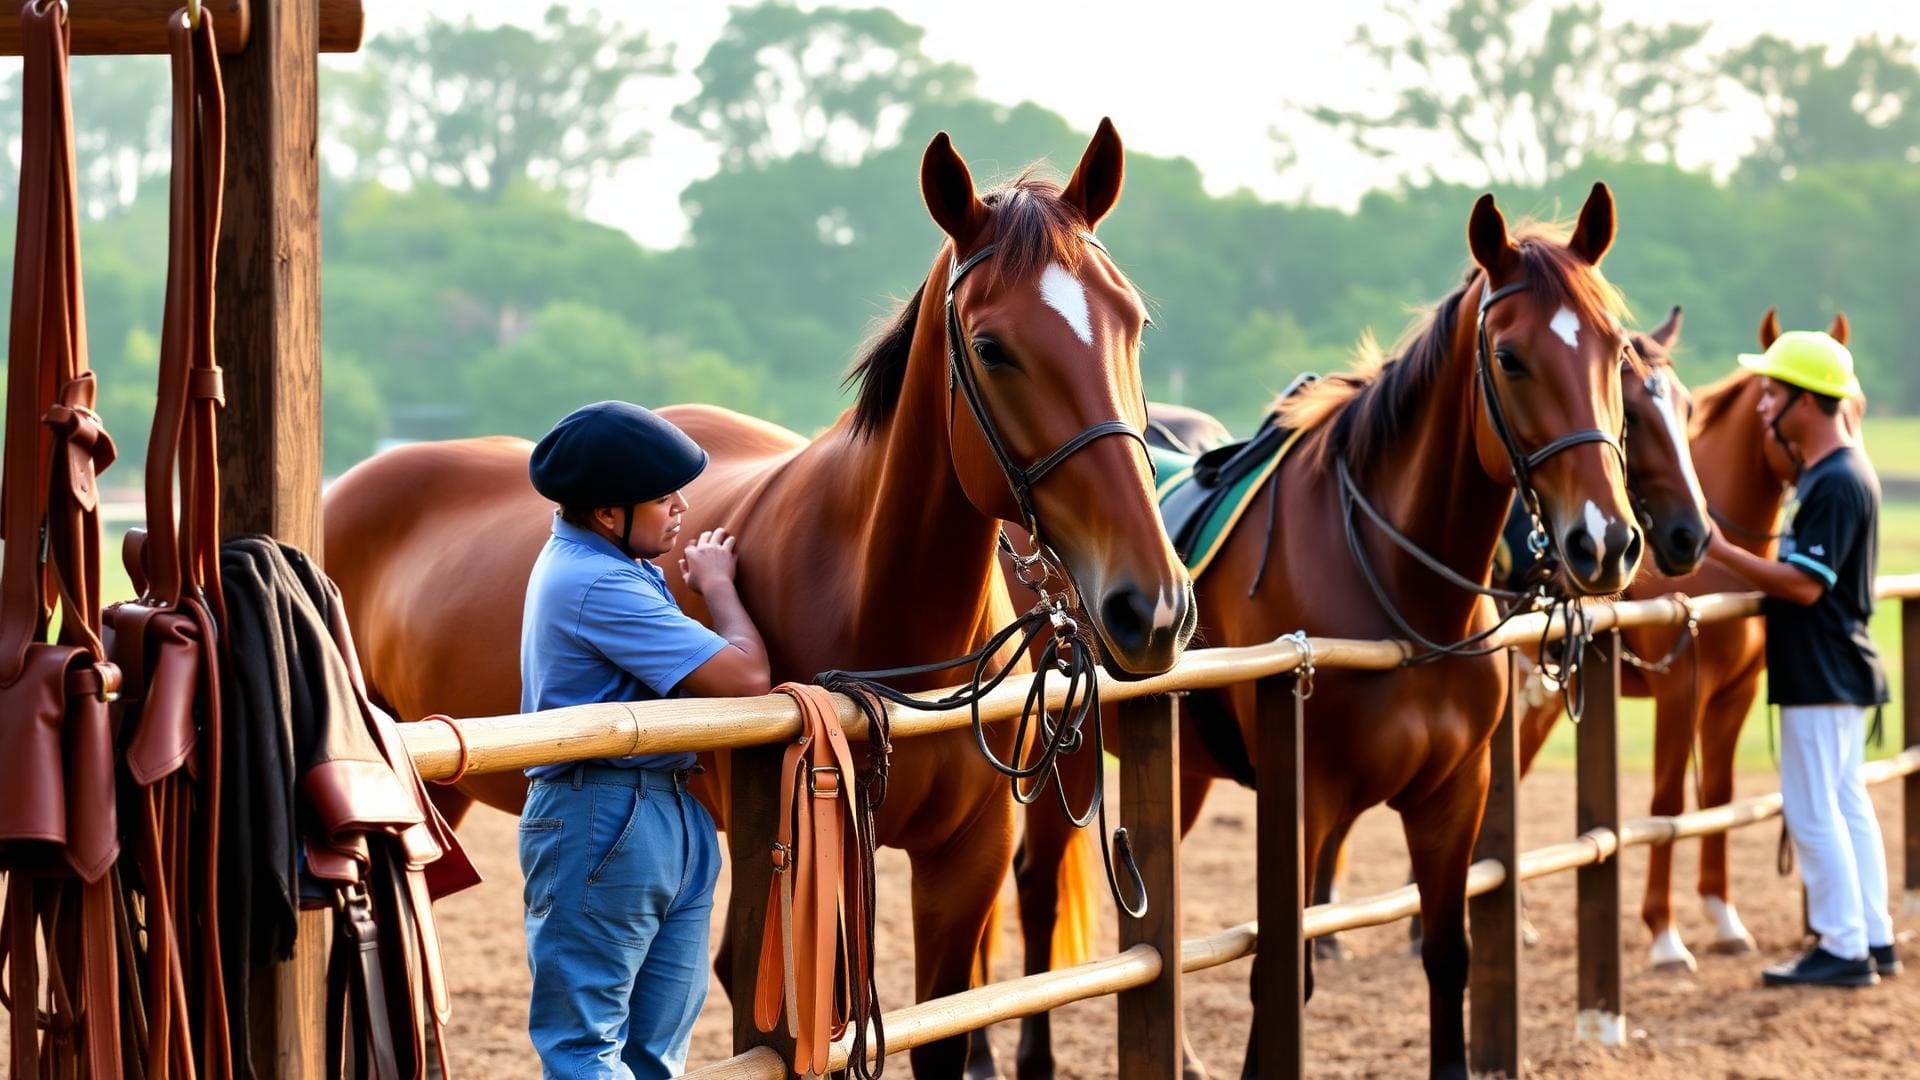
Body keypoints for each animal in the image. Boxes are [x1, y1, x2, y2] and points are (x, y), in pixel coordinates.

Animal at [979, 295, 1712, 1078]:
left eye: (1683, 406)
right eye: (1512, 361)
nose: (1665, 537)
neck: (1396, 578)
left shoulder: (1460, 781)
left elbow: (1448, 942)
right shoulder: (1307, 793)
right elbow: (1284, 968)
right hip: (1061, 756)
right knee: (1028, 888)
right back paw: (1010, 1056)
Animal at [1513, 308, 1855, 974]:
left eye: (1687, 406)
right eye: (1630, 411)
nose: (1690, 537)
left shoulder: (1734, 696)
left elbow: (1718, 796)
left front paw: (1725, 921)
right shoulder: (1681, 689)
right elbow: (1668, 803)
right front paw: (1665, 936)